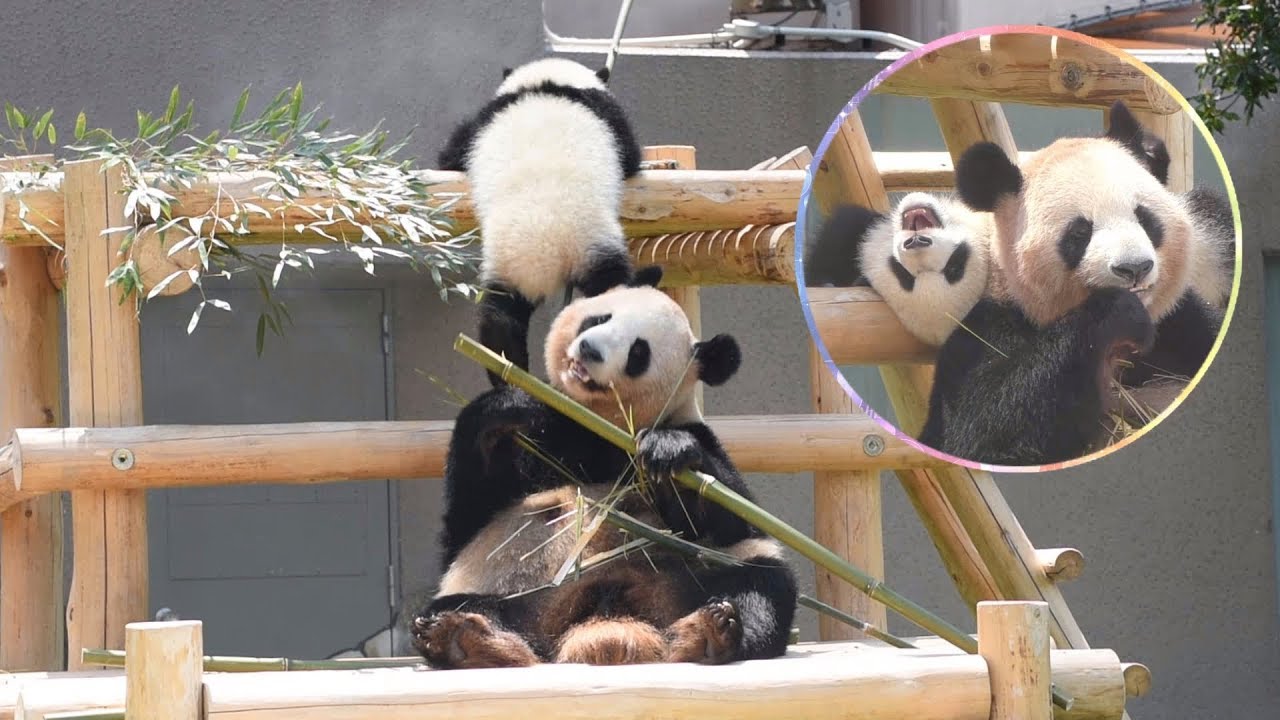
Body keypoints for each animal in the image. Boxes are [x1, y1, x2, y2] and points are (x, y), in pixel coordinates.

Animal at [410, 268, 798, 669]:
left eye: (639, 352)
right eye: (598, 319)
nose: (589, 350)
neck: (596, 424)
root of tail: (602, 622)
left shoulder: (691, 432)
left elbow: (730, 516)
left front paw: (668, 452)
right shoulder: (543, 435)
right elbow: (467, 516)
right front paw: (508, 405)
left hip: (701, 574)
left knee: (761, 584)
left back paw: (712, 632)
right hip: (508, 588)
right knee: (454, 607)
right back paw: (463, 638)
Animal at [437, 57, 645, 387]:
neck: (547, 84)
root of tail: (546, 249)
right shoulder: (609, 117)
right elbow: (631, 155)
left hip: (518, 267)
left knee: (498, 324)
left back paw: (511, 378)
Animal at [917, 100, 1234, 466]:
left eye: (1145, 218)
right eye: (1080, 232)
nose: (1134, 268)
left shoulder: (1181, 323)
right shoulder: (987, 330)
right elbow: (981, 431)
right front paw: (1118, 312)